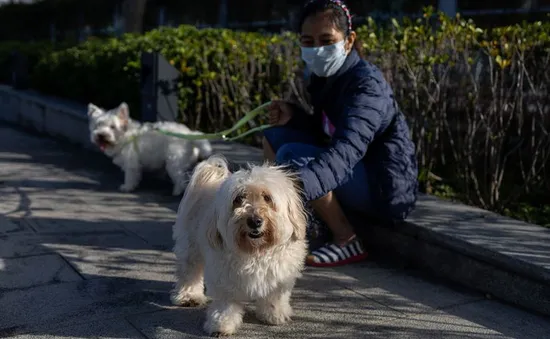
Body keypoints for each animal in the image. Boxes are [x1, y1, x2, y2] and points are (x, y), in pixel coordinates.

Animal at [172, 156, 310, 338]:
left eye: (267, 198)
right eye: (239, 199)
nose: (254, 221)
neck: (255, 252)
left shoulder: (279, 276)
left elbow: (274, 297)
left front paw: (274, 314)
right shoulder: (224, 278)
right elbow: (226, 305)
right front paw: (222, 324)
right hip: (190, 247)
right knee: (190, 272)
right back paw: (189, 296)